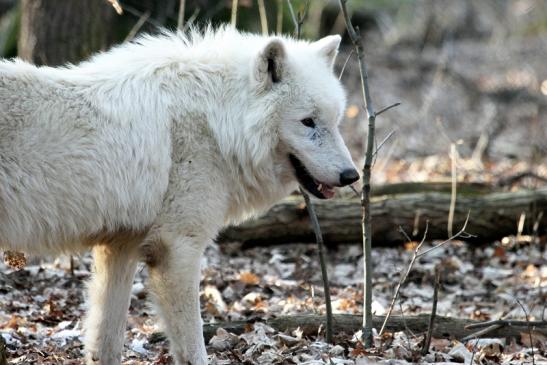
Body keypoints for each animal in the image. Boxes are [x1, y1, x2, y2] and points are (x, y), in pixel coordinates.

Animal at [0, 27, 360, 362]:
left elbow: (106, 344)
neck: (218, 124)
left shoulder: (119, 248)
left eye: (335, 120)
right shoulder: (176, 249)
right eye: (307, 122)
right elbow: (193, 347)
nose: (351, 175)